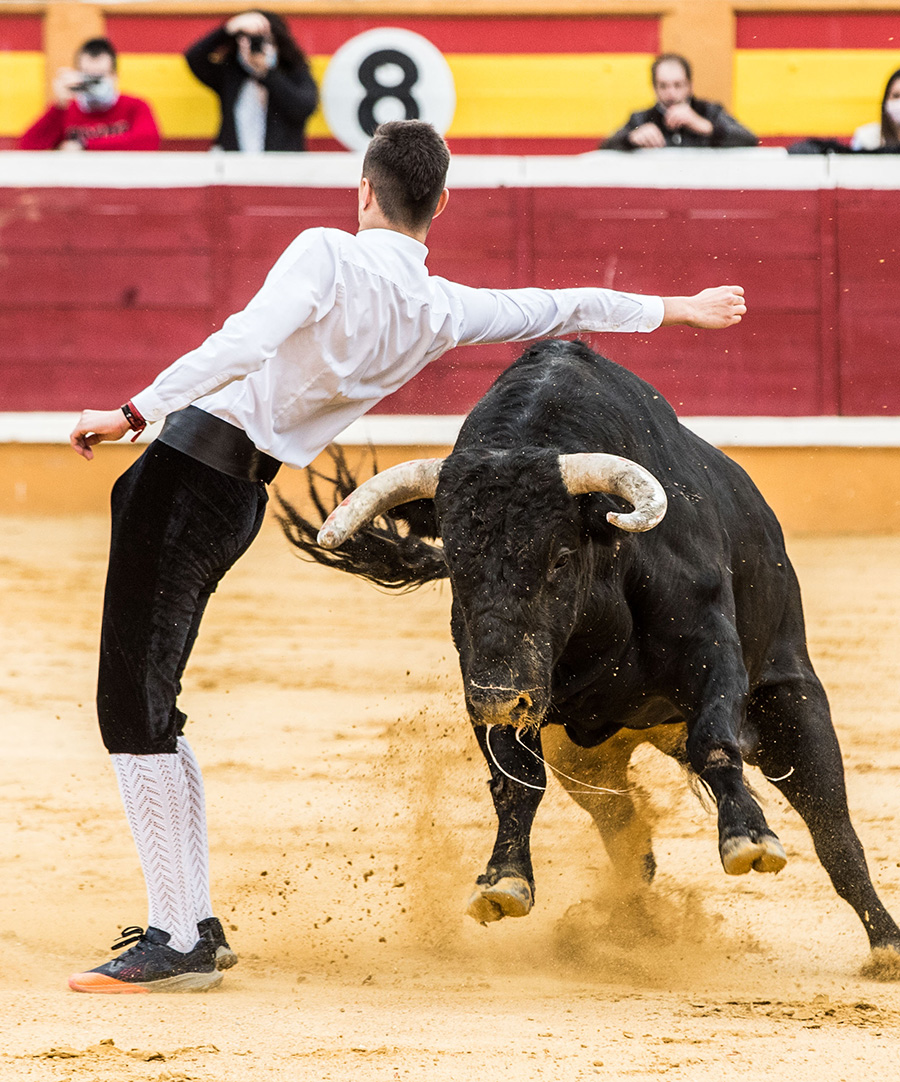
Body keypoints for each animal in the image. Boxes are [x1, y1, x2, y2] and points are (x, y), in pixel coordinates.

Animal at [276, 339, 895, 965]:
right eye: (454, 560)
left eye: (559, 558)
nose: (500, 697)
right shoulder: (494, 686)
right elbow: (516, 782)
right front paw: (503, 880)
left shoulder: (713, 651)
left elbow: (715, 742)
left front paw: (747, 838)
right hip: (586, 761)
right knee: (629, 840)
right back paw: (629, 930)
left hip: (791, 698)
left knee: (834, 830)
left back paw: (885, 943)